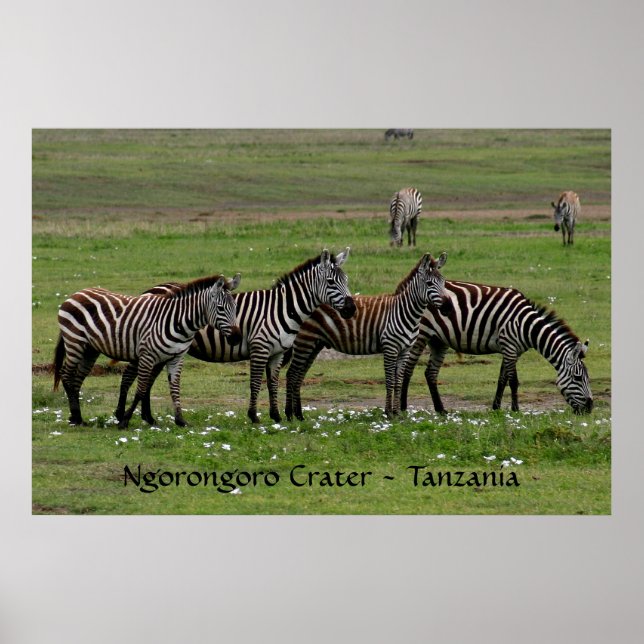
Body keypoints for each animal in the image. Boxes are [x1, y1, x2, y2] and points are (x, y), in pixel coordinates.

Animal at [53, 274, 242, 429]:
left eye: (235, 307)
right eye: (220, 308)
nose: (237, 338)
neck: (179, 322)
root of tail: (77, 293)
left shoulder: (177, 358)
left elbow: (175, 388)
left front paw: (180, 420)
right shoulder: (147, 356)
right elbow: (142, 389)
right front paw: (125, 420)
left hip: (90, 349)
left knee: (77, 379)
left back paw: (77, 417)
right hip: (75, 342)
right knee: (66, 374)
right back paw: (76, 417)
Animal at [115, 249, 356, 424]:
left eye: (347, 280)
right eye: (332, 282)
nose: (351, 309)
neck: (283, 308)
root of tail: (149, 290)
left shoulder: (277, 353)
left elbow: (273, 383)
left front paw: (276, 416)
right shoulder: (260, 347)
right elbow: (255, 383)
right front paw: (254, 416)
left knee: (149, 378)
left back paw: (148, 417)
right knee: (130, 375)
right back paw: (121, 415)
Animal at [285, 252, 451, 420]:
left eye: (443, 282)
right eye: (429, 283)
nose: (448, 307)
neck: (404, 312)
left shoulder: (405, 350)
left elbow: (398, 381)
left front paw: (397, 413)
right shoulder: (390, 348)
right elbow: (390, 380)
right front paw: (388, 412)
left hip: (314, 344)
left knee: (299, 376)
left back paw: (299, 415)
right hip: (304, 341)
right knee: (292, 374)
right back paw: (290, 415)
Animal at [398, 280, 594, 415]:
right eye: (577, 378)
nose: (590, 407)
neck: (526, 326)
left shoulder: (511, 350)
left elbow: (502, 379)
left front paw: (496, 408)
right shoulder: (509, 347)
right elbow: (513, 381)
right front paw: (515, 410)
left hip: (438, 340)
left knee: (430, 373)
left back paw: (441, 410)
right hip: (421, 334)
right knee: (408, 369)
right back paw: (403, 407)